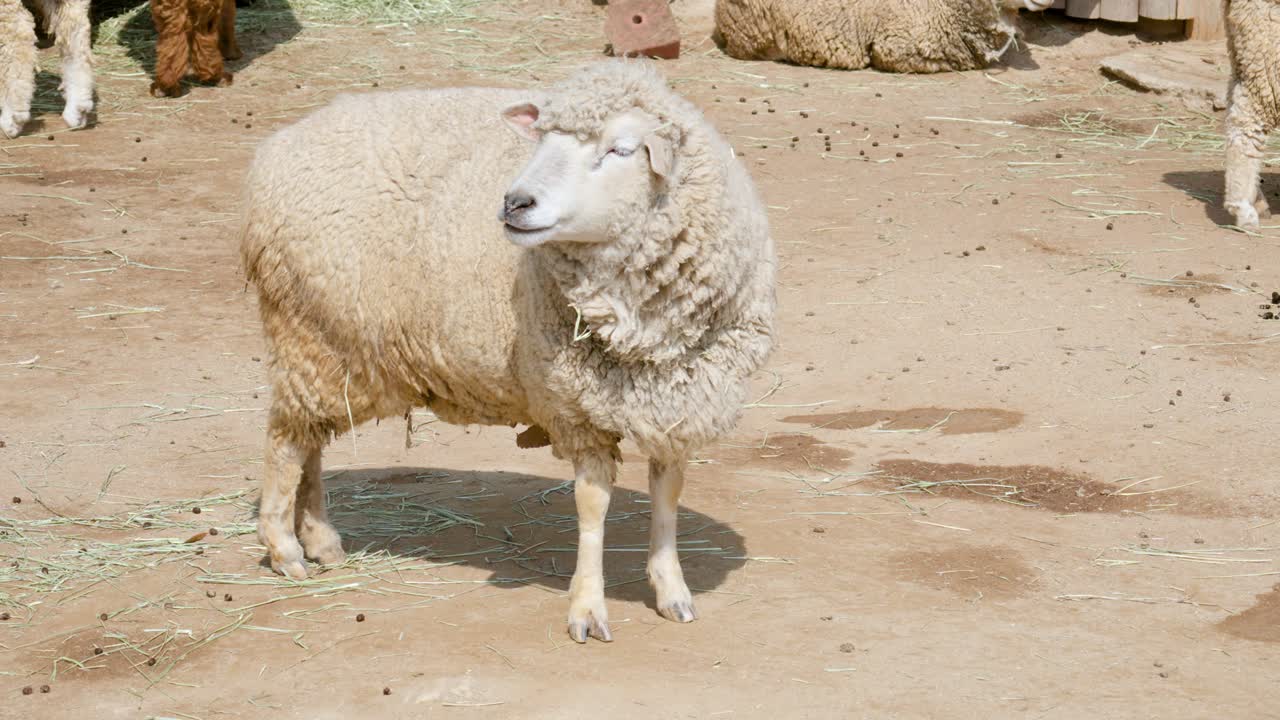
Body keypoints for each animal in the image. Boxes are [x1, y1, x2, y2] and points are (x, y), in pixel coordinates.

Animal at [239, 60, 777, 643]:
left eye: (620, 149)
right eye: (540, 139)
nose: (514, 203)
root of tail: (276, 149)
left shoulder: (680, 397)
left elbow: (668, 493)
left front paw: (671, 589)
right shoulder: (576, 405)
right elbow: (593, 505)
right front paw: (588, 608)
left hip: (335, 348)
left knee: (309, 440)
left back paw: (321, 540)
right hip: (304, 332)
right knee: (284, 441)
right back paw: (285, 547)